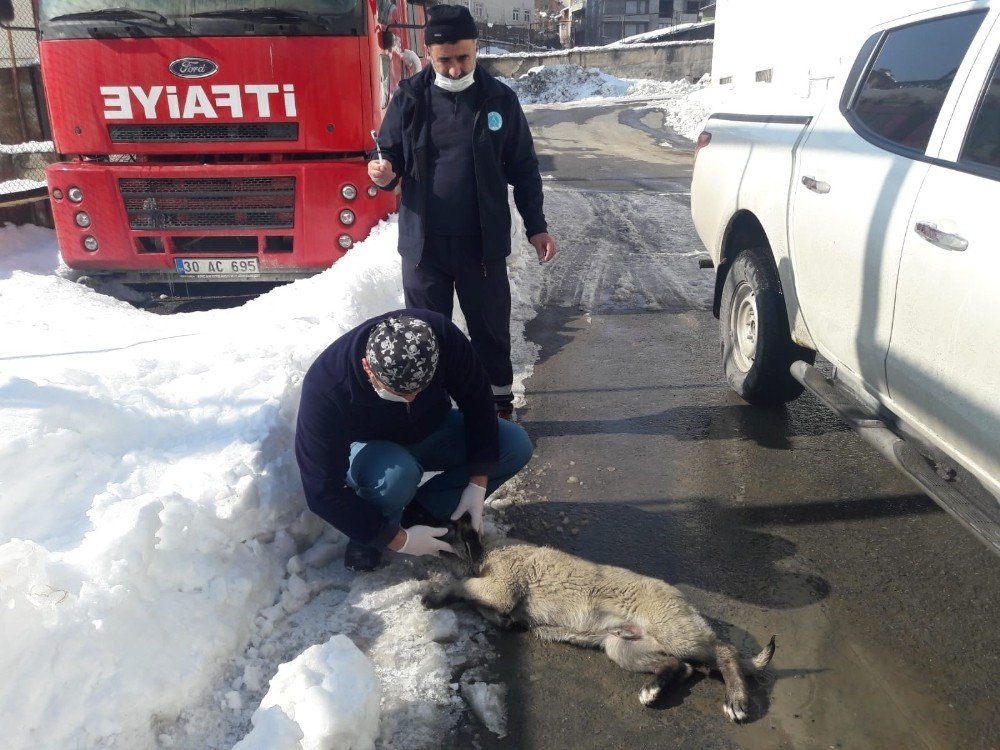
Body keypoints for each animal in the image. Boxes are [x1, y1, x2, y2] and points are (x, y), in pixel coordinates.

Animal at [422, 528, 772, 724]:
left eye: (449, 531)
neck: (492, 547)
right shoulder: (497, 595)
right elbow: (478, 599)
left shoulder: (501, 587)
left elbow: (463, 584)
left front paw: (436, 596)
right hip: (623, 648)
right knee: (680, 666)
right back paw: (654, 690)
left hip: (675, 631)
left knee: (725, 651)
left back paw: (736, 701)